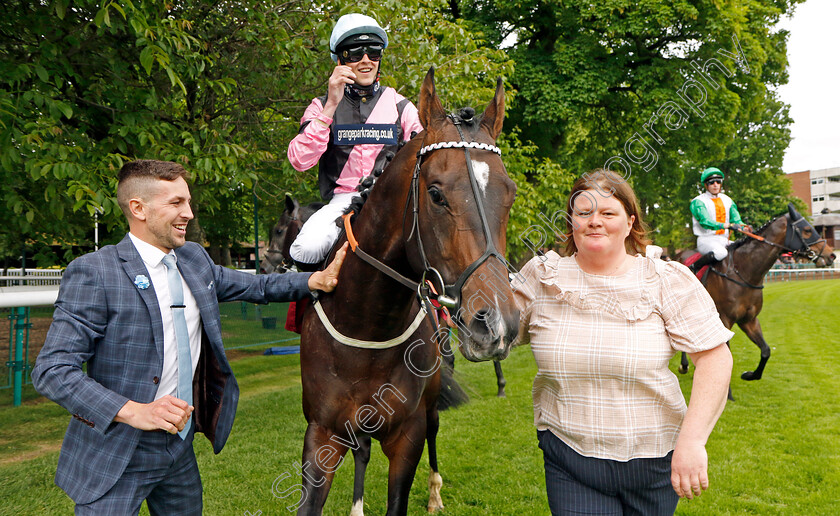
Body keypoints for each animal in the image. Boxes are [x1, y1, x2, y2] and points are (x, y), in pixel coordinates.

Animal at [296, 69, 520, 516]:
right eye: (435, 193)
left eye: (510, 193)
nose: (496, 323)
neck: (367, 325)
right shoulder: (322, 433)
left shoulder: (407, 436)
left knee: (434, 428)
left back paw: (433, 492)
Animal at [680, 202, 836, 396]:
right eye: (807, 230)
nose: (831, 255)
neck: (743, 272)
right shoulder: (725, 320)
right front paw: (727, 393)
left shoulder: (749, 320)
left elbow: (766, 350)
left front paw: (750, 375)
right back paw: (684, 365)